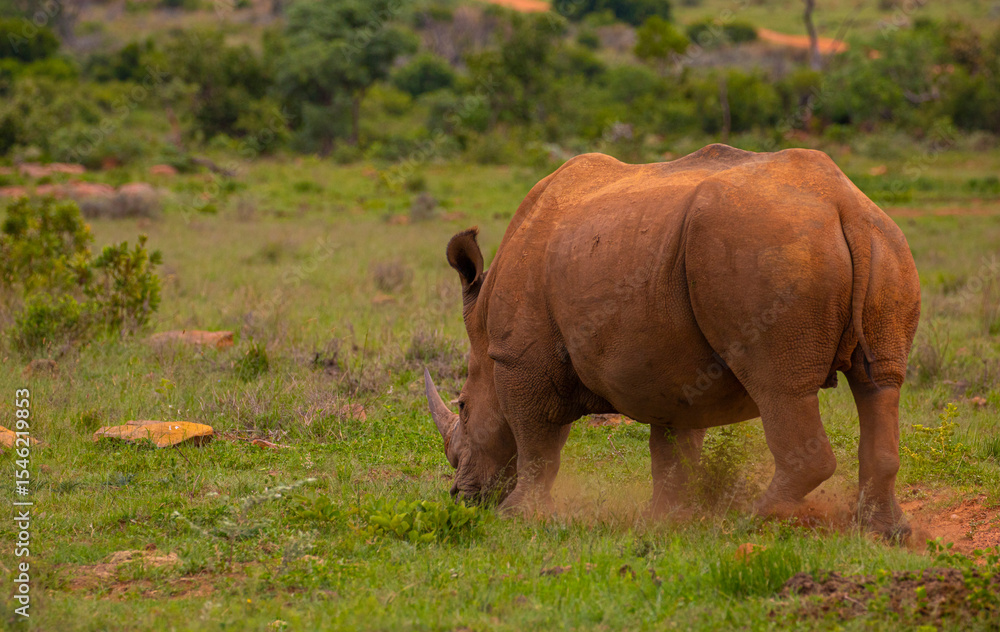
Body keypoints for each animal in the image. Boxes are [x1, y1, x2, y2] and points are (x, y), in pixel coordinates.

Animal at [424, 144, 920, 538]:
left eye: (463, 406)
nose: (460, 497)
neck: (484, 332)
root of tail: (843, 203)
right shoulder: (673, 365)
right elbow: (673, 445)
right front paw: (664, 519)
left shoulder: (519, 359)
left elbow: (536, 440)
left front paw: (516, 516)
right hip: (882, 244)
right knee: (879, 384)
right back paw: (886, 532)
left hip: (767, 248)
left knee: (779, 387)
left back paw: (749, 521)